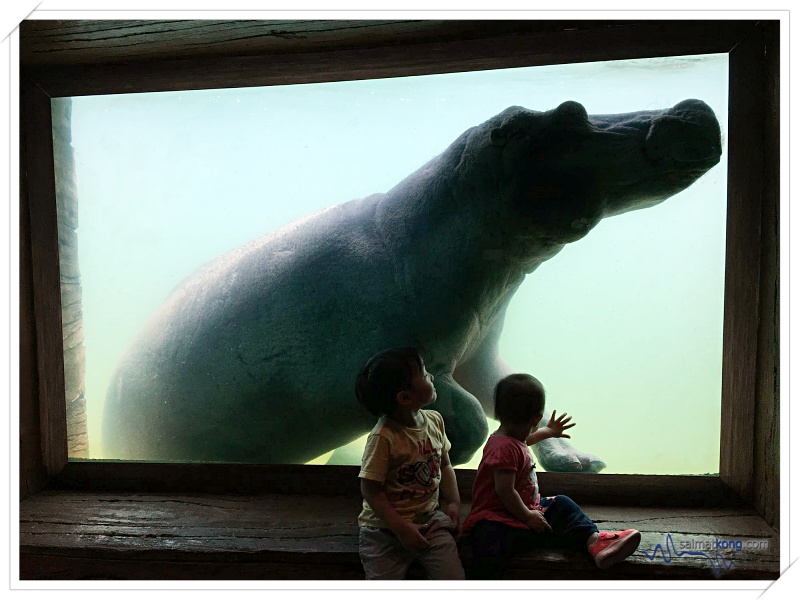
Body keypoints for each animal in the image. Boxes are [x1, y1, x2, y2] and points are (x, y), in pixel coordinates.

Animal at [103, 101, 720, 472]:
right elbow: (469, 414)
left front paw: (582, 461)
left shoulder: (476, 348)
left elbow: (515, 391)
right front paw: (439, 446)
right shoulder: (380, 365)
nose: (692, 110)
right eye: (571, 114)